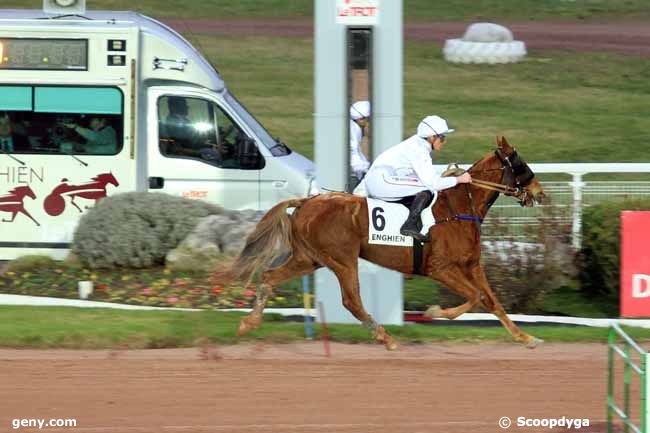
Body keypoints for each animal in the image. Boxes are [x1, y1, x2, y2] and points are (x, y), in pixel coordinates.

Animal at [225, 137, 544, 350]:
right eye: (519, 164)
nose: (539, 192)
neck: (457, 208)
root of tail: (307, 200)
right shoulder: (440, 268)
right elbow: (475, 297)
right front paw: (434, 312)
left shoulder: (472, 265)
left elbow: (491, 300)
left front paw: (526, 337)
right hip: (342, 259)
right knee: (351, 300)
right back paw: (386, 338)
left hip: (309, 258)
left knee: (269, 276)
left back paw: (248, 323)